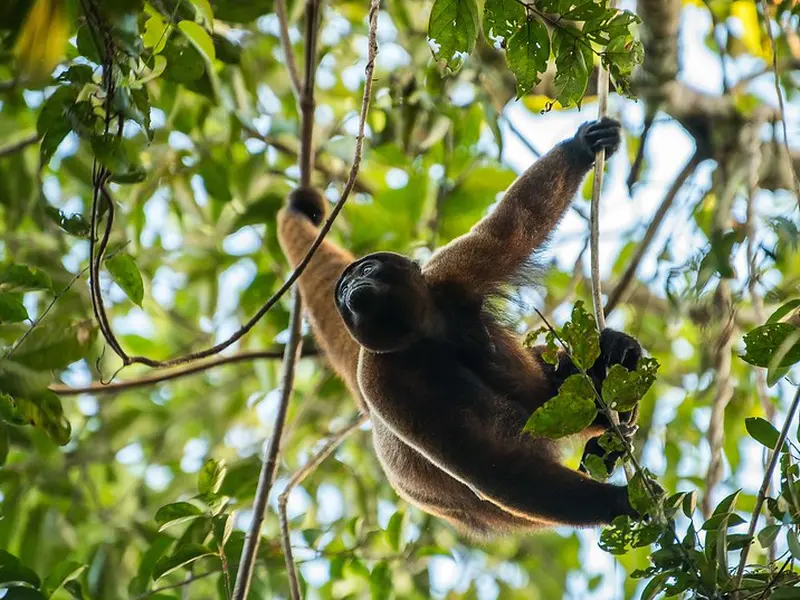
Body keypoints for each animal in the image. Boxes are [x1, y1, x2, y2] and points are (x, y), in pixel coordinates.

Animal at [277, 117, 646, 537]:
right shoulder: (380, 380)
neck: (423, 333)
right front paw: (620, 503)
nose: (351, 287)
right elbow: (496, 467)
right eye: (341, 293)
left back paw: (616, 368)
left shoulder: (449, 273)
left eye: (367, 270)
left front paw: (583, 146)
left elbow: (514, 225)